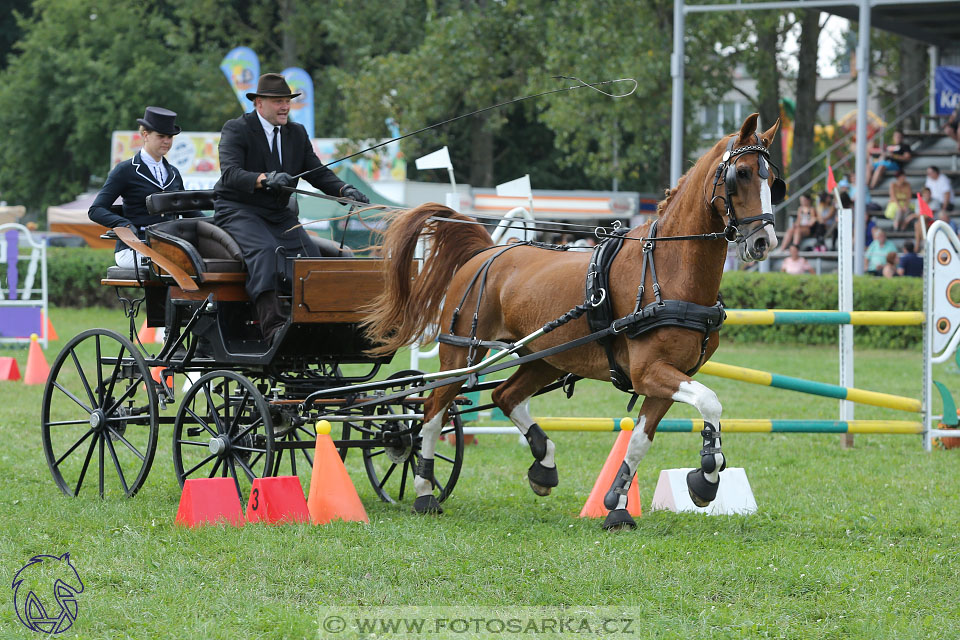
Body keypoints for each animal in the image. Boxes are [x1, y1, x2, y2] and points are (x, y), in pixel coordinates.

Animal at [362, 112, 780, 528]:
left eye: (773, 180)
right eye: (742, 173)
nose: (765, 242)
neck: (666, 269)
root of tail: (485, 251)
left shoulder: (669, 377)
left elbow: (641, 440)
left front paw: (619, 504)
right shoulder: (650, 371)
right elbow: (710, 402)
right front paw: (708, 472)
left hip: (545, 357)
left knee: (504, 396)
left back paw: (543, 464)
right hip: (462, 352)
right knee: (433, 410)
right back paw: (423, 489)